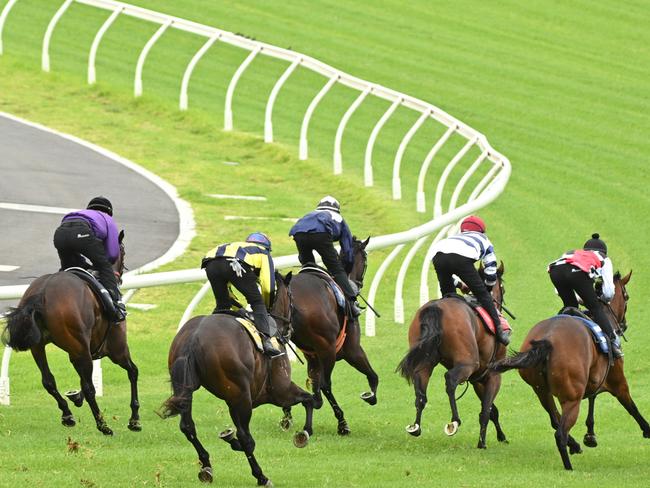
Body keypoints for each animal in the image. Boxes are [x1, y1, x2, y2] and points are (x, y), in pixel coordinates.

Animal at [1, 230, 139, 434]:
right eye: (123, 251)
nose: (120, 275)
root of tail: (42, 293)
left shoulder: (80, 352)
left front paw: (75, 396)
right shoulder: (117, 349)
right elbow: (133, 372)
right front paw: (135, 419)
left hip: (39, 346)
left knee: (48, 381)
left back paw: (67, 414)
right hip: (82, 348)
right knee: (90, 388)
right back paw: (103, 425)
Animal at [161, 270, 314, 484]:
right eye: (292, 297)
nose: (290, 328)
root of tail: (193, 339)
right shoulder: (280, 390)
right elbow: (310, 399)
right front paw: (304, 433)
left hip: (187, 390)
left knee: (188, 427)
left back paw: (207, 465)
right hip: (241, 397)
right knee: (245, 437)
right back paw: (261, 475)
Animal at [288, 236, 378, 434]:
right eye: (365, 259)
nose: (358, 285)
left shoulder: (313, 358)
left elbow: (314, 384)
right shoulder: (353, 350)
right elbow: (373, 375)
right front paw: (370, 396)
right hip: (328, 349)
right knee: (325, 384)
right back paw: (342, 423)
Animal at [392, 264, 508, 448]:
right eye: (502, 287)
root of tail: (435, 308)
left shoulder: (477, 379)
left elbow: (491, 410)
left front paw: (501, 436)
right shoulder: (493, 375)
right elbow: (486, 410)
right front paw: (482, 443)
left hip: (424, 361)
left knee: (421, 393)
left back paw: (416, 427)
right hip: (467, 363)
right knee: (450, 379)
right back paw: (454, 421)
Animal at [488, 270, 644, 468]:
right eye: (627, 297)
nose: (623, 325)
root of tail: (547, 341)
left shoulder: (593, 379)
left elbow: (592, 397)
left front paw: (590, 435)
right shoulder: (617, 381)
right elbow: (631, 406)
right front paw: (647, 430)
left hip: (542, 391)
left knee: (555, 420)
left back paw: (575, 445)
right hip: (571, 398)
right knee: (560, 432)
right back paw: (569, 466)